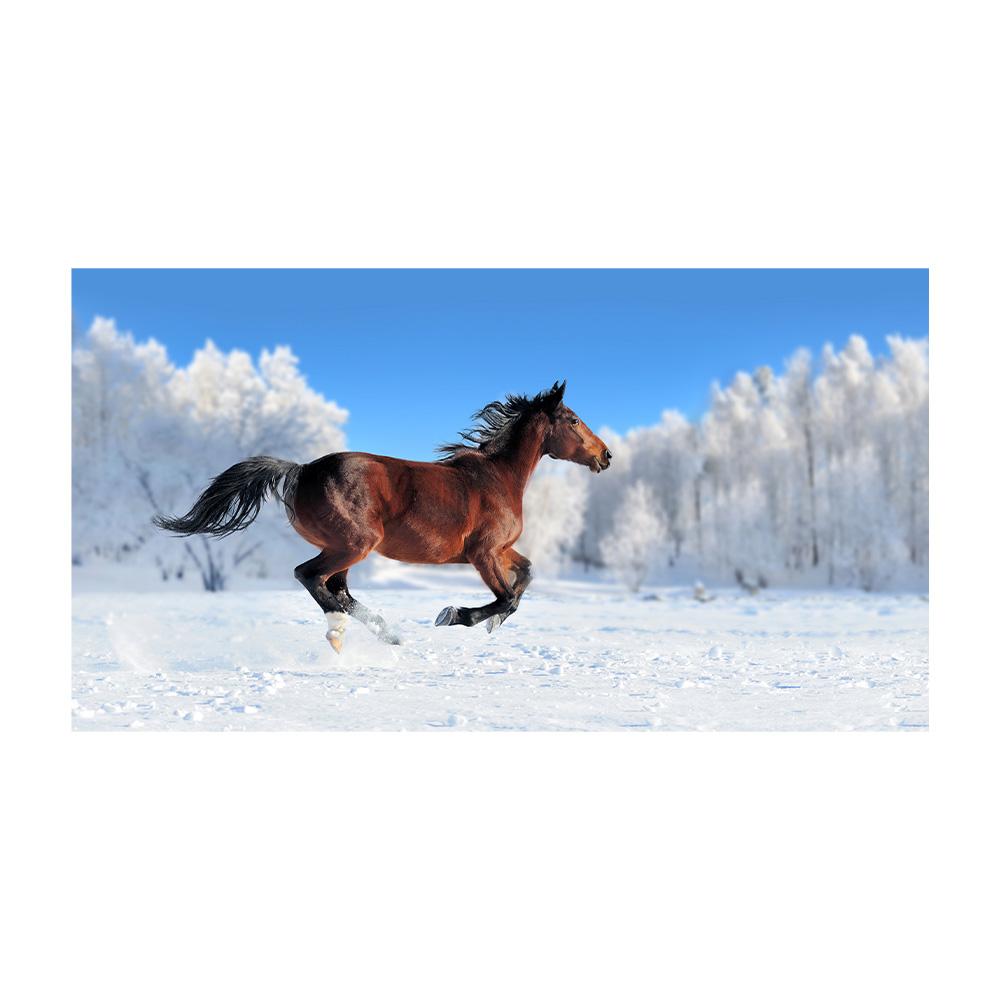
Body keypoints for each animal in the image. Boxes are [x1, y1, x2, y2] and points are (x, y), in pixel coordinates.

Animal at [154, 381, 611, 652]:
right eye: (573, 420)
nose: (606, 455)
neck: (497, 477)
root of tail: (301, 470)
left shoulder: (501, 550)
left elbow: (525, 577)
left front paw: (488, 623)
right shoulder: (483, 553)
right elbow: (507, 598)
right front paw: (456, 616)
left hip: (343, 548)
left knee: (336, 588)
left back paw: (386, 633)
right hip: (353, 544)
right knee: (311, 577)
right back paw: (342, 631)